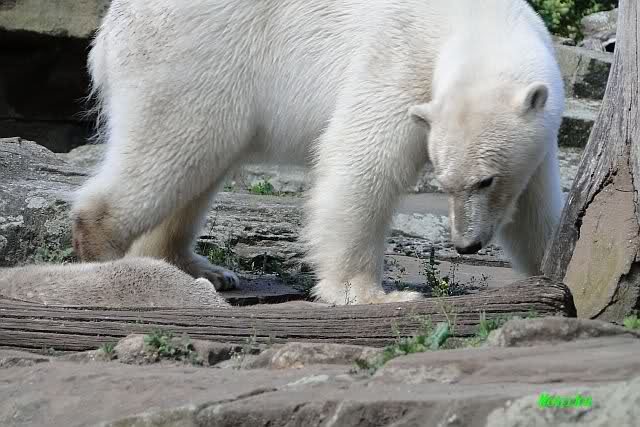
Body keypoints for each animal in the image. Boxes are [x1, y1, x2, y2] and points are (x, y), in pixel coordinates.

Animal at [71, 0, 564, 305]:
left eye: (485, 180)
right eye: (445, 183)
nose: (466, 245)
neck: (478, 18)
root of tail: (108, 29)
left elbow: (537, 207)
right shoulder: (397, 58)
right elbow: (362, 162)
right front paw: (371, 294)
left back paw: (199, 269)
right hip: (190, 57)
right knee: (172, 147)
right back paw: (107, 260)